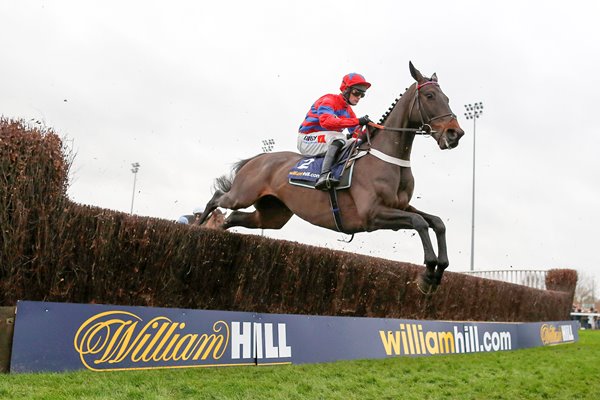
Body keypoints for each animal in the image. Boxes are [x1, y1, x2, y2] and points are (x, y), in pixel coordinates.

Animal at [197, 62, 464, 294]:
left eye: (447, 98)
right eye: (430, 96)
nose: (455, 133)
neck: (387, 158)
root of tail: (259, 158)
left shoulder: (400, 206)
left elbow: (437, 222)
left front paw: (438, 271)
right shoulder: (372, 214)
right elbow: (419, 223)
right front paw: (427, 274)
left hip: (273, 215)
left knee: (234, 217)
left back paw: (217, 231)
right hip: (242, 194)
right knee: (218, 198)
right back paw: (198, 226)